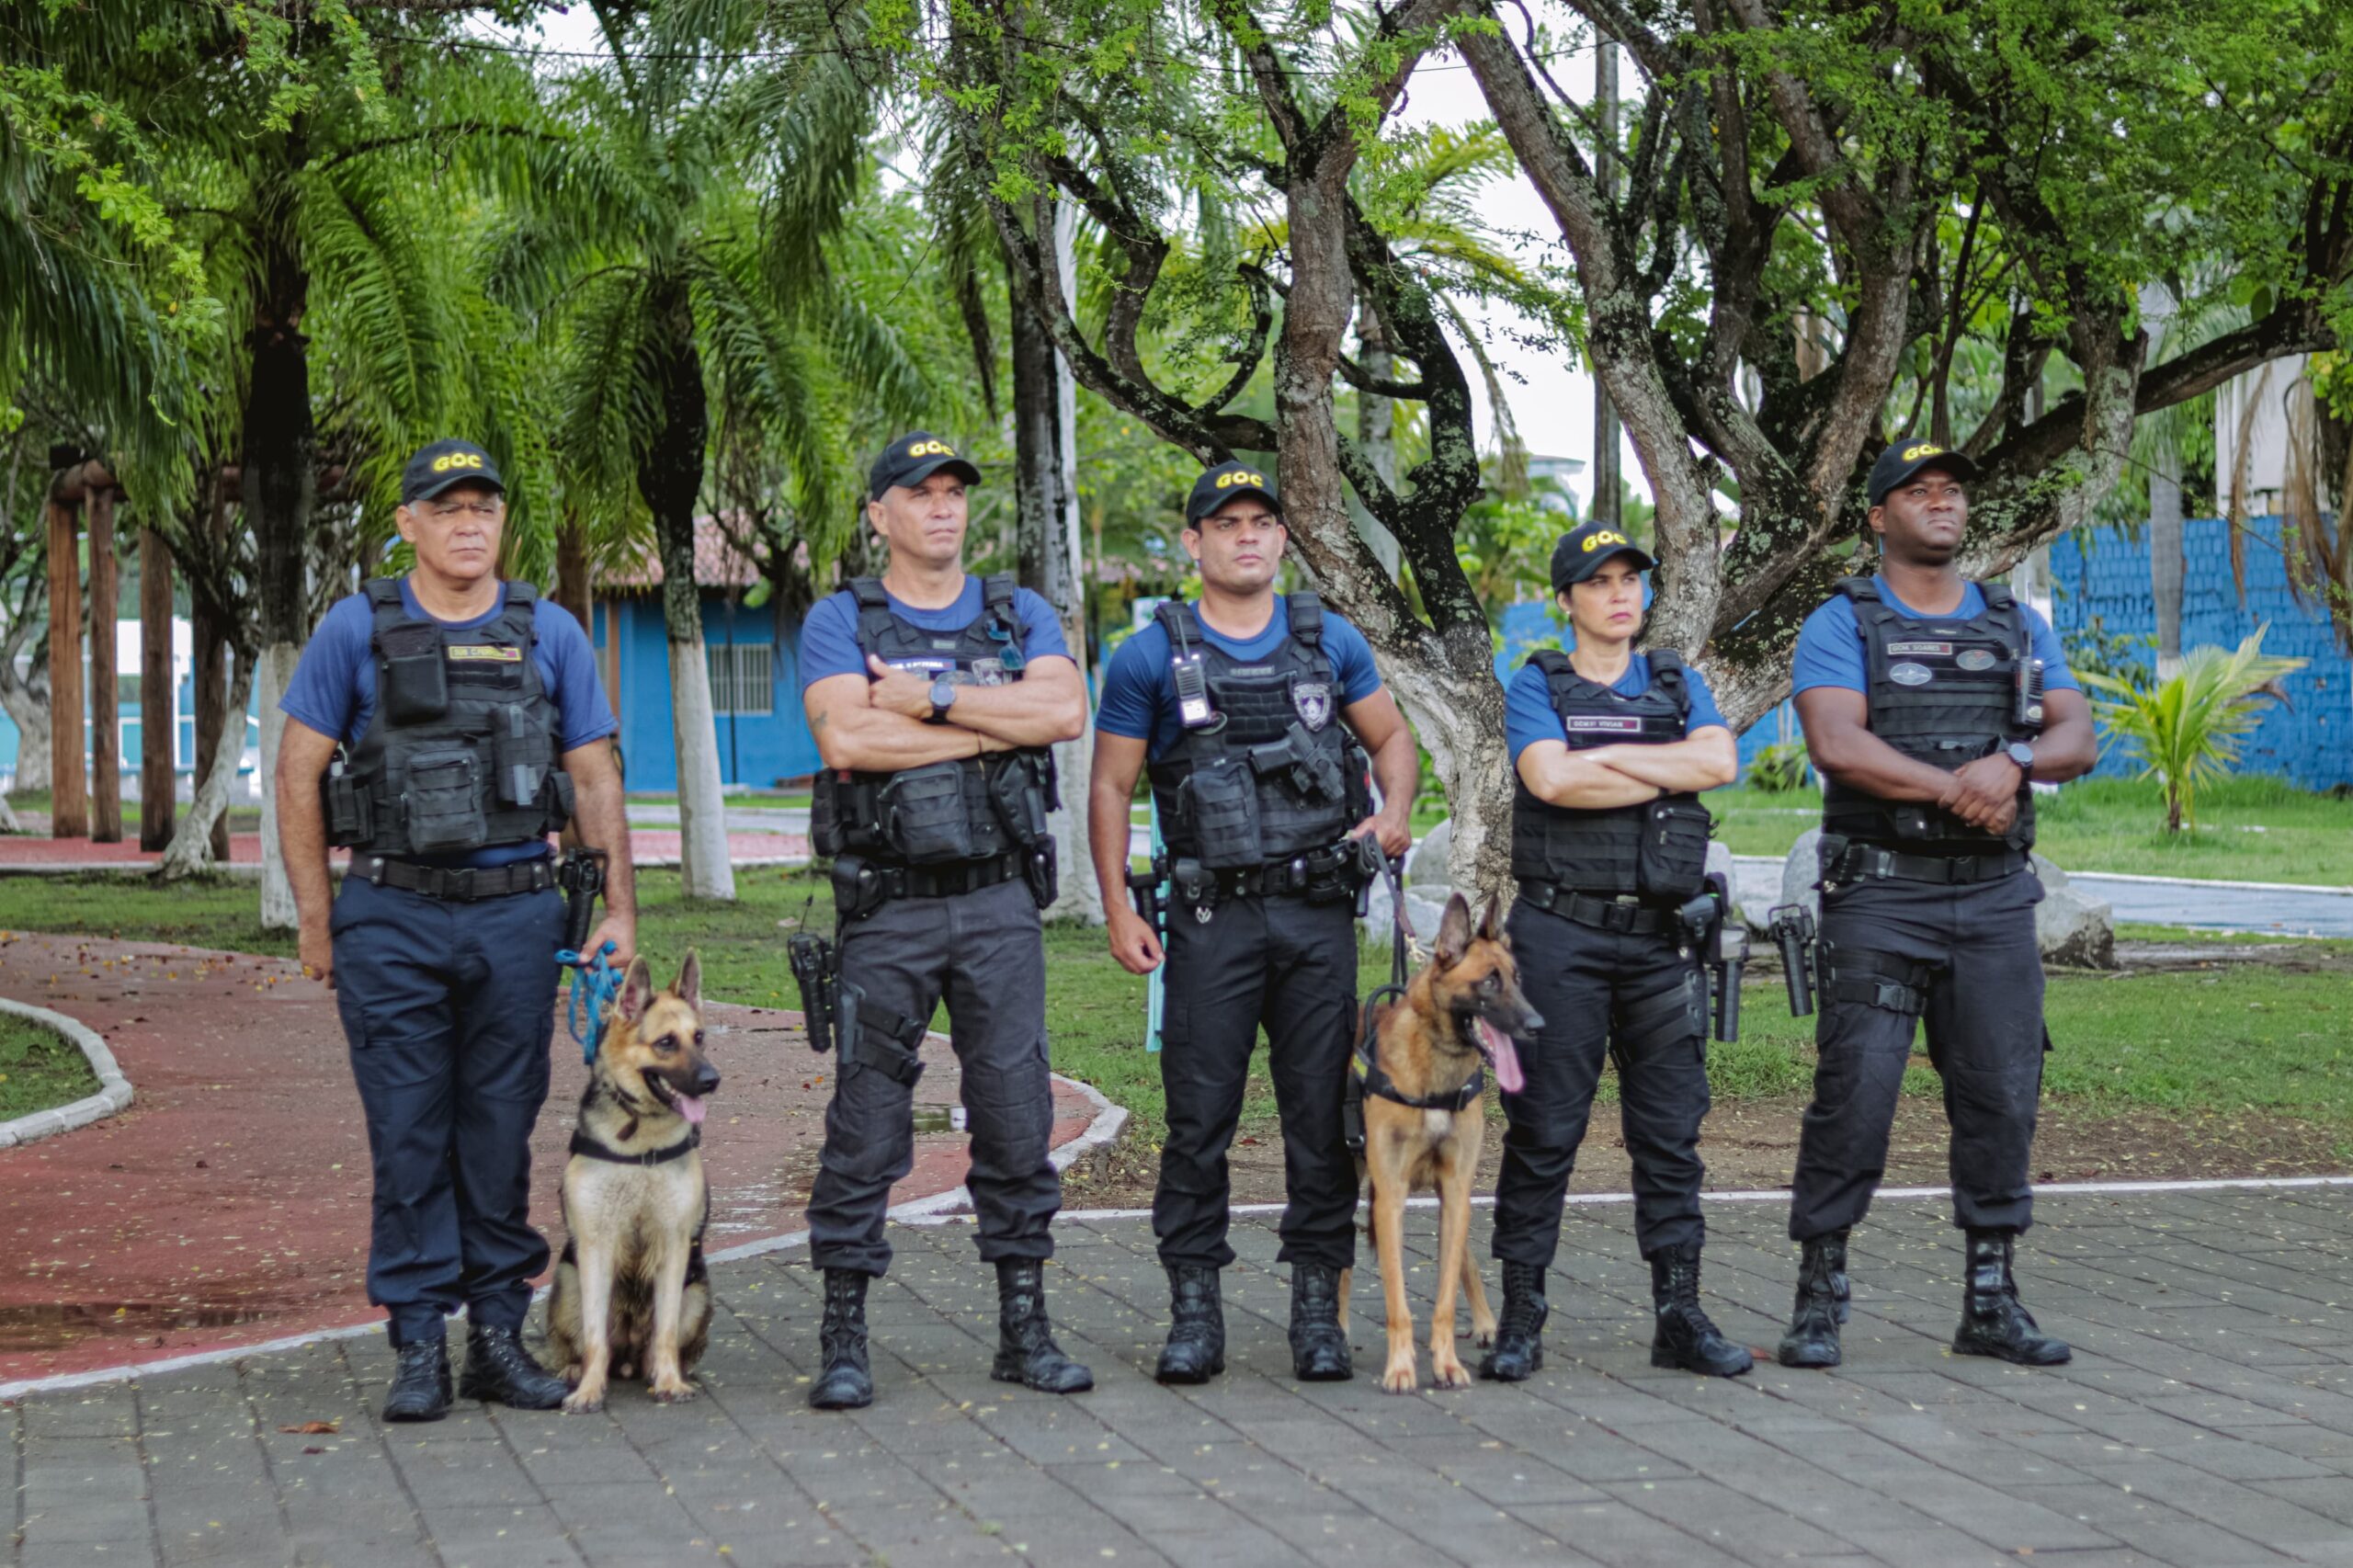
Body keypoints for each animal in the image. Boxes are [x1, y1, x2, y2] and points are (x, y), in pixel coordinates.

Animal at [548, 946, 720, 1412]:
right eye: (666, 1042)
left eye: (699, 1037)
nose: (712, 1080)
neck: (641, 1140)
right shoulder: (596, 1245)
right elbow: (593, 1338)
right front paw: (589, 1390)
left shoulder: (673, 1246)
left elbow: (664, 1333)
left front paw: (670, 1382)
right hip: (566, 1283)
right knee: (578, 1344)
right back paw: (573, 1372)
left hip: (697, 1292)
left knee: (663, 1345)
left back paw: (668, 1372)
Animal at [1346, 890, 1543, 1393]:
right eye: (1489, 982)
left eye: (1518, 979)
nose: (1538, 1024)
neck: (1435, 1071)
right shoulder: (1390, 1198)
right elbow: (1397, 1300)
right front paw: (1400, 1368)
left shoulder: (1455, 1190)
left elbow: (1446, 1294)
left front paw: (1446, 1363)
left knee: (1465, 1260)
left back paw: (1488, 1323)